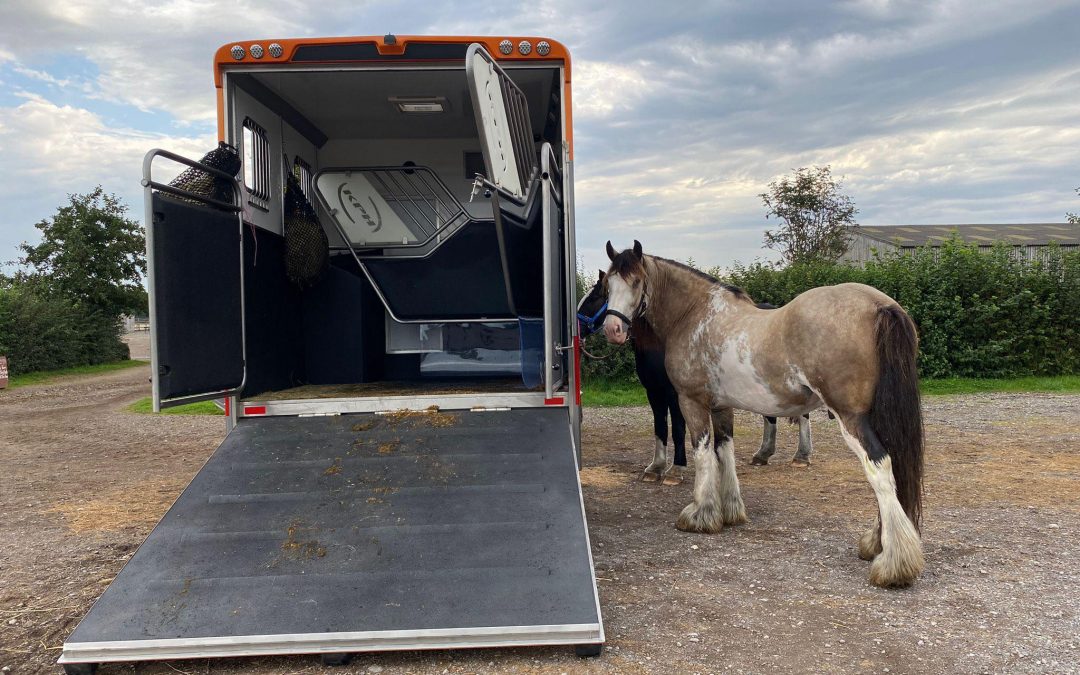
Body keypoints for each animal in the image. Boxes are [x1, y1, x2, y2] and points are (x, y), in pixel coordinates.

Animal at [604, 240, 924, 583]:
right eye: (608, 283)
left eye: (636, 282)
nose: (613, 329)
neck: (695, 315)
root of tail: (879, 305)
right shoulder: (722, 406)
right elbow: (725, 452)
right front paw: (730, 511)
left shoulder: (691, 402)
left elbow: (702, 454)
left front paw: (700, 515)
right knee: (893, 467)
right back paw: (876, 544)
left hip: (851, 418)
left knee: (879, 466)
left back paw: (892, 564)